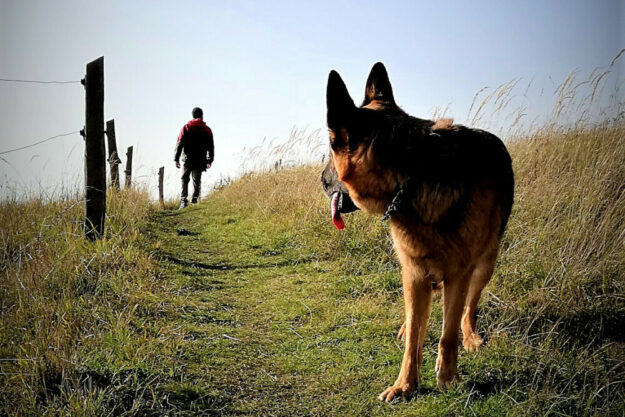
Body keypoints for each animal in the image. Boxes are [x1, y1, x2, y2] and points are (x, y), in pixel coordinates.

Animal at [320, 61, 516, 400]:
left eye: (330, 151)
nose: (321, 180)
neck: (413, 172)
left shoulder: (459, 274)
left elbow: (448, 332)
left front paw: (447, 377)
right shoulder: (413, 271)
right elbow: (414, 336)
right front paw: (404, 385)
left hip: (485, 264)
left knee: (469, 308)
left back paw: (471, 336)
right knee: (418, 315)